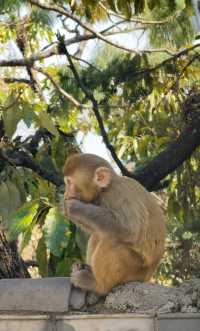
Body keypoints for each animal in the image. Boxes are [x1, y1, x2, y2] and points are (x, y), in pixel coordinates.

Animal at [64, 154, 166, 296]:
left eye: (69, 183)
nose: (65, 194)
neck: (106, 188)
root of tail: (147, 276)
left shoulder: (117, 195)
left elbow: (130, 229)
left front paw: (76, 208)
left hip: (133, 270)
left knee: (111, 240)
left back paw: (97, 285)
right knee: (99, 234)